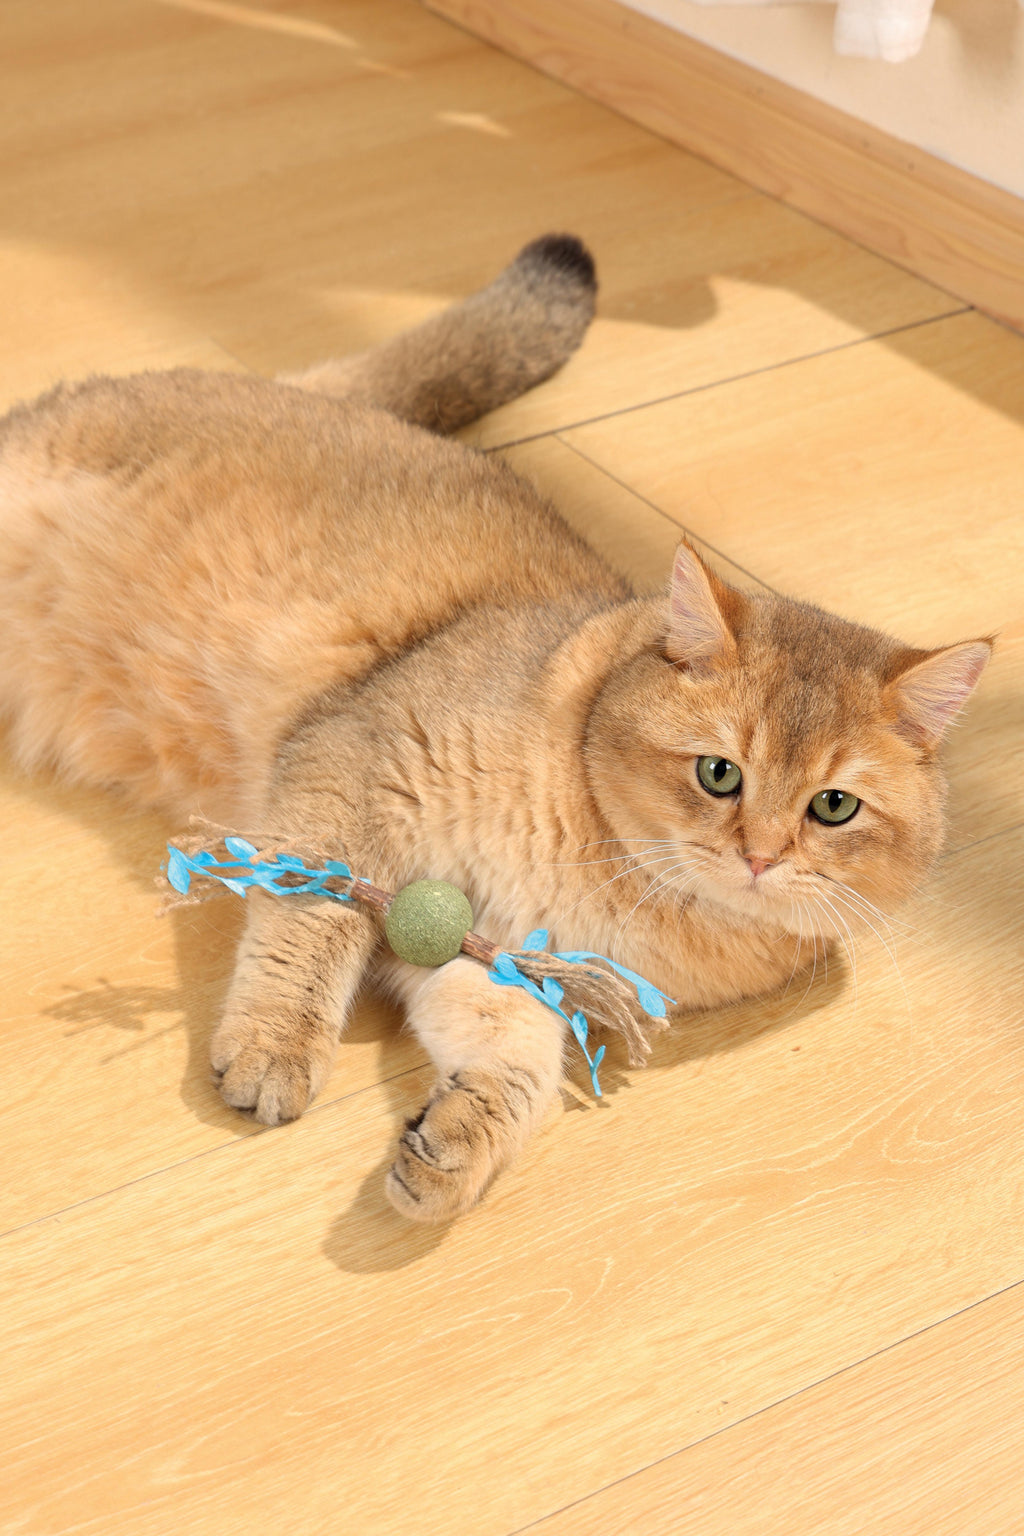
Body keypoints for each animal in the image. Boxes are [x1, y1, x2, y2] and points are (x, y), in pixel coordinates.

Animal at [0, 236, 994, 1222]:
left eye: (833, 807)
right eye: (720, 775)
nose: (759, 855)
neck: (607, 879)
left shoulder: (499, 956)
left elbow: (519, 1060)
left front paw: (455, 1150)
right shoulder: (352, 768)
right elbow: (313, 917)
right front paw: (275, 1045)